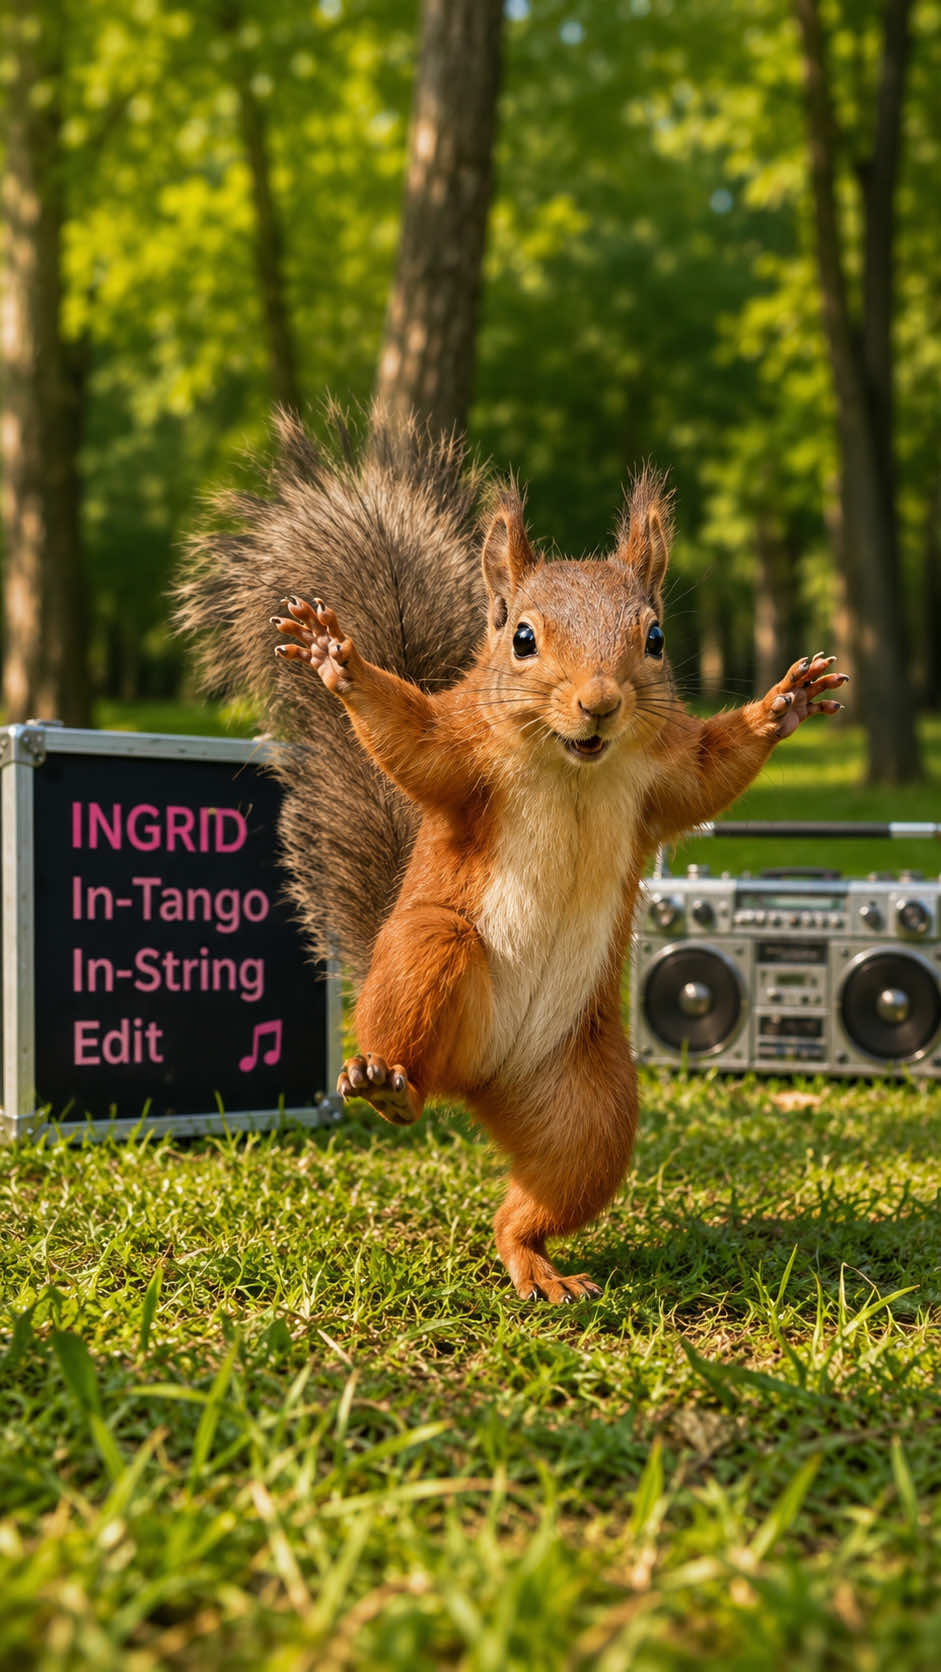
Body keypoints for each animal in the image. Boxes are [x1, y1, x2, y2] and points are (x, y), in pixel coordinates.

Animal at [177, 403, 847, 1304]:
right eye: (522, 637)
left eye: (655, 635)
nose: (599, 702)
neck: (573, 764)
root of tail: (477, 1086)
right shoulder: (461, 753)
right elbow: (411, 744)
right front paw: (338, 663)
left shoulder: (666, 774)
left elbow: (714, 774)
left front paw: (783, 704)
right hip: (430, 952)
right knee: (416, 1042)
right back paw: (384, 1086)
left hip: (589, 1102)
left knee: (539, 1196)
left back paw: (533, 1260)